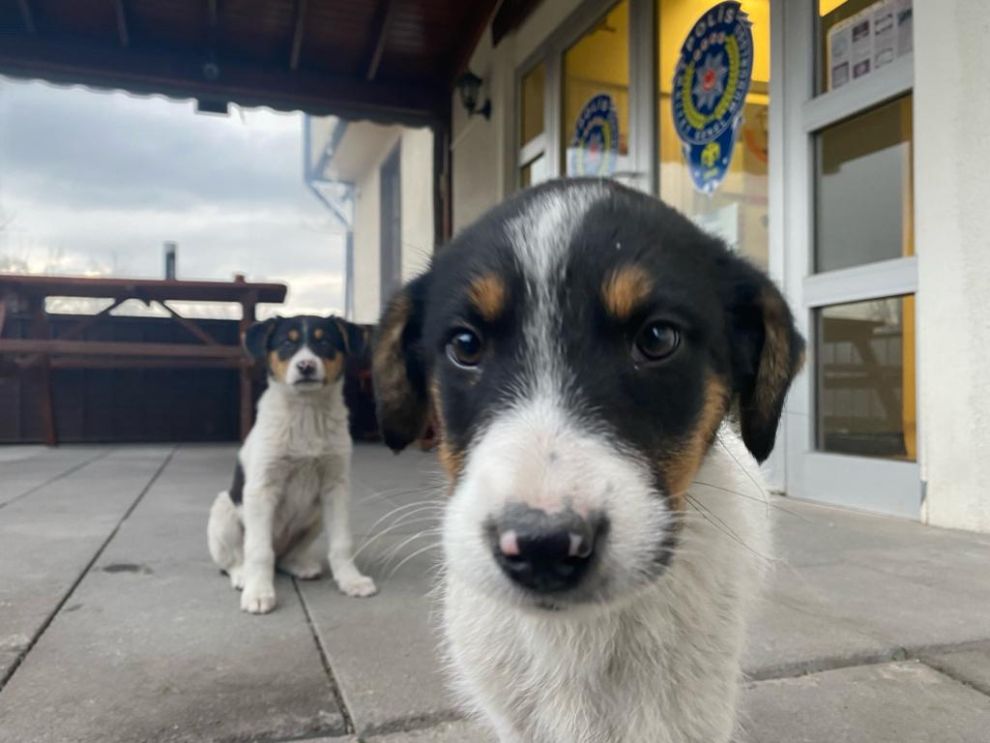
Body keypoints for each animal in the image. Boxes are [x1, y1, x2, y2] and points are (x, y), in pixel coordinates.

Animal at [207, 314, 378, 616]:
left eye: (324, 342)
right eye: (288, 343)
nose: (306, 366)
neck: (306, 413)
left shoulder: (336, 487)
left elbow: (342, 543)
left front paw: (351, 580)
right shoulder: (262, 489)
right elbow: (258, 551)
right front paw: (258, 593)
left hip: (316, 516)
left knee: (285, 557)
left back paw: (299, 566)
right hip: (223, 513)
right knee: (237, 558)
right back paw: (243, 576)